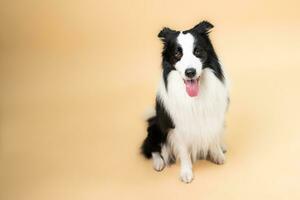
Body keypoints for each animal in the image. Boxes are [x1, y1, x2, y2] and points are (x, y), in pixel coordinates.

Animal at [141, 20, 230, 183]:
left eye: (197, 51)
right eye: (177, 54)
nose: (190, 72)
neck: (195, 96)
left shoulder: (214, 116)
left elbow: (213, 137)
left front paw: (217, 154)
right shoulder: (177, 127)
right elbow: (184, 152)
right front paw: (186, 172)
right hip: (156, 127)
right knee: (153, 148)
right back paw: (158, 162)